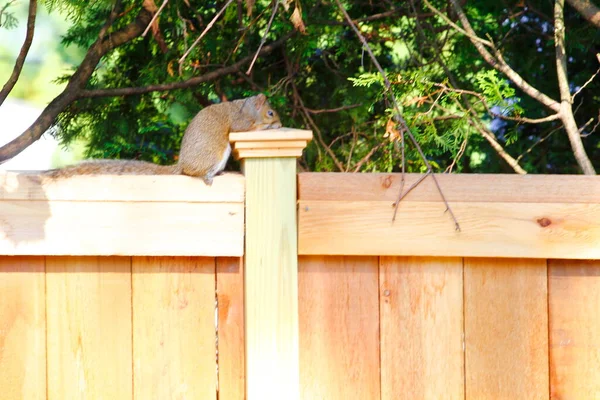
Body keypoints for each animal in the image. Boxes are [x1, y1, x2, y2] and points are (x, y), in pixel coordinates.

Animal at [46, 94, 282, 185]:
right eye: (270, 113)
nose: (279, 123)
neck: (246, 107)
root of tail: (182, 164)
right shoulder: (240, 121)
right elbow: (246, 129)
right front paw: (269, 127)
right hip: (214, 154)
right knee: (195, 173)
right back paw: (208, 175)